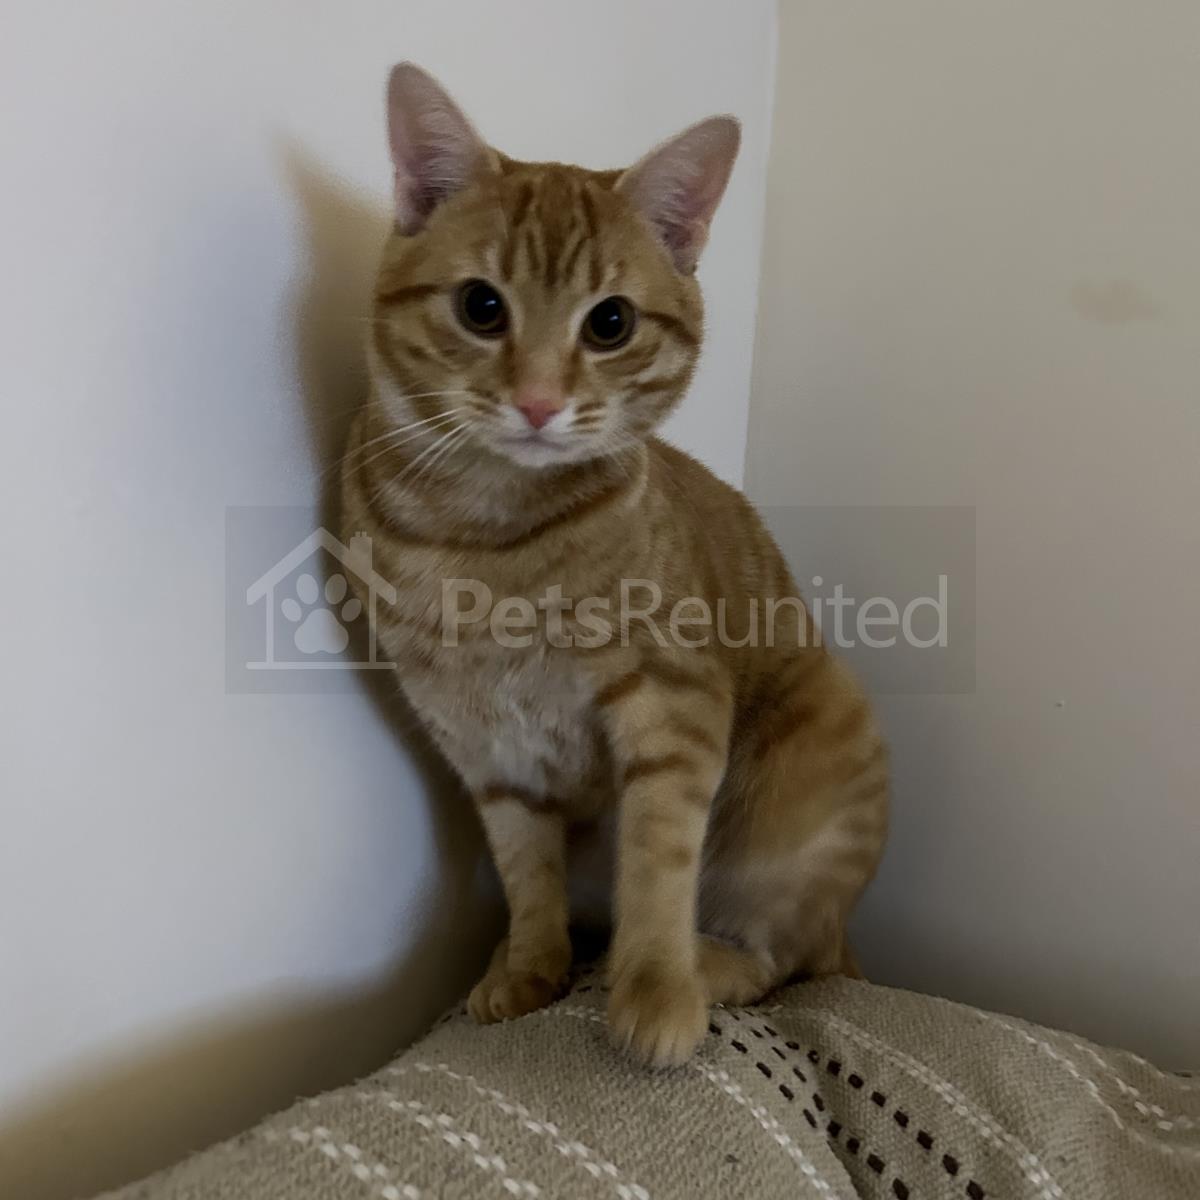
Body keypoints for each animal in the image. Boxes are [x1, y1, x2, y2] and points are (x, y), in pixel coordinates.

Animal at [340, 63, 888, 1067]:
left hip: (811, 771)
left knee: (782, 961)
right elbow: (526, 869)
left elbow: (659, 866)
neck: (483, 536)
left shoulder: (674, 707)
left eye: (611, 323)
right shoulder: (482, 744)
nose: (537, 402)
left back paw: (709, 966)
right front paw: (532, 962)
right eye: (482, 307)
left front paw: (658, 988)